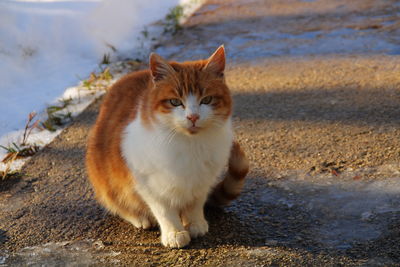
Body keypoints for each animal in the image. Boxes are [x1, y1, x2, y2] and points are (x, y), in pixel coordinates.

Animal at [86, 46, 248, 249]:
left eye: (207, 99)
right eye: (175, 102)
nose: (193, 117)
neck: (189, 145)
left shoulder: (203, 180)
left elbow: (196, 203)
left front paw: (195, 223)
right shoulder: (147, 182)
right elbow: (163, 210)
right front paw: (174, 232)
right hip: (105, 176)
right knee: (116, 202)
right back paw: (140, 217)